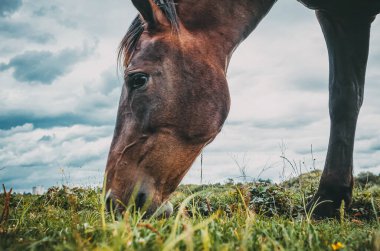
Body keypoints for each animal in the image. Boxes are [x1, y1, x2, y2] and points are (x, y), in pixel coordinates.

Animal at [104, 0, 380, 217]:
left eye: (138, 79)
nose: (110, 202)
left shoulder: (350, 16)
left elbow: (344, 99)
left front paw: (328, 200)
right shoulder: (334, 16)